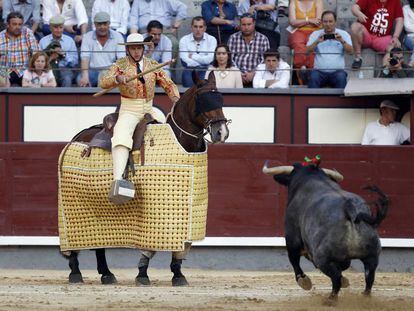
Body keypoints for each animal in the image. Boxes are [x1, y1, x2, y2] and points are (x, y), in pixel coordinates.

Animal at [62, 72, 230, 286]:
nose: (221, 132)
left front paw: (178, 274)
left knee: (98, 242)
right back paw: (75, 272)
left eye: (220, 98)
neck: (181, 141)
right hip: (73, 203)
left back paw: (106, 274)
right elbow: (149, 249)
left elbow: (181, 248)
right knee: (75, 243)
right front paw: (142, 274)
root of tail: (76, 137)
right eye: (203, 99)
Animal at [264, 161, 390, 300]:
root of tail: (350, 207)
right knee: (369, 278)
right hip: (372, 256)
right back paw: (363, 297)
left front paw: (304, 282)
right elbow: (344, 266)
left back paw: (330, 299)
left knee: (335, 278)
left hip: (322, 258)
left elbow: (294, 260)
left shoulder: (292, 238)